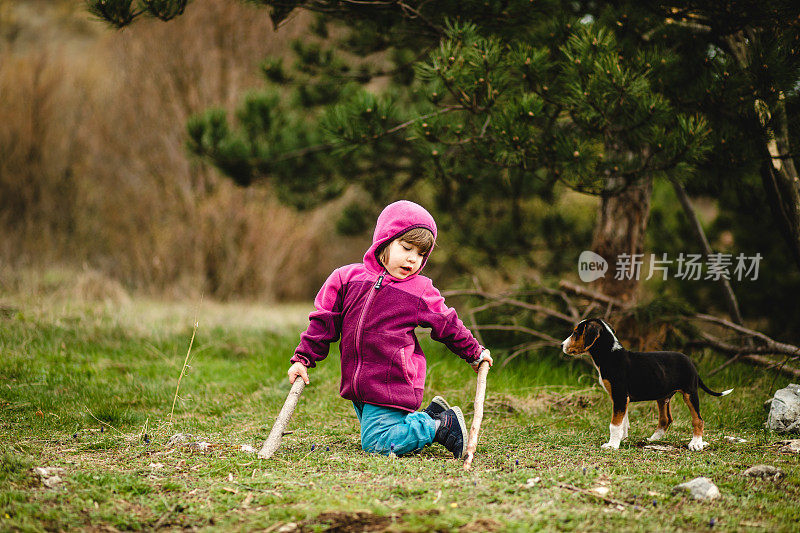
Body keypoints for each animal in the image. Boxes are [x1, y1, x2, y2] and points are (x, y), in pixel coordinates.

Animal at [560, 318, 736, 450]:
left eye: (576, 332)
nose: (561, 345)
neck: (610, 355)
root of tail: (691, 363)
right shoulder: (621, 399)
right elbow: (623, 422)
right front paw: (622, 439)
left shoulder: (619, 396)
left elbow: (615, 424)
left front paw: (612, 445)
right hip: (663, 397)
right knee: (666, 419)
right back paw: (653, 439)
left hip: (690, 393)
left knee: (698, 419)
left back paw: (696, 443)